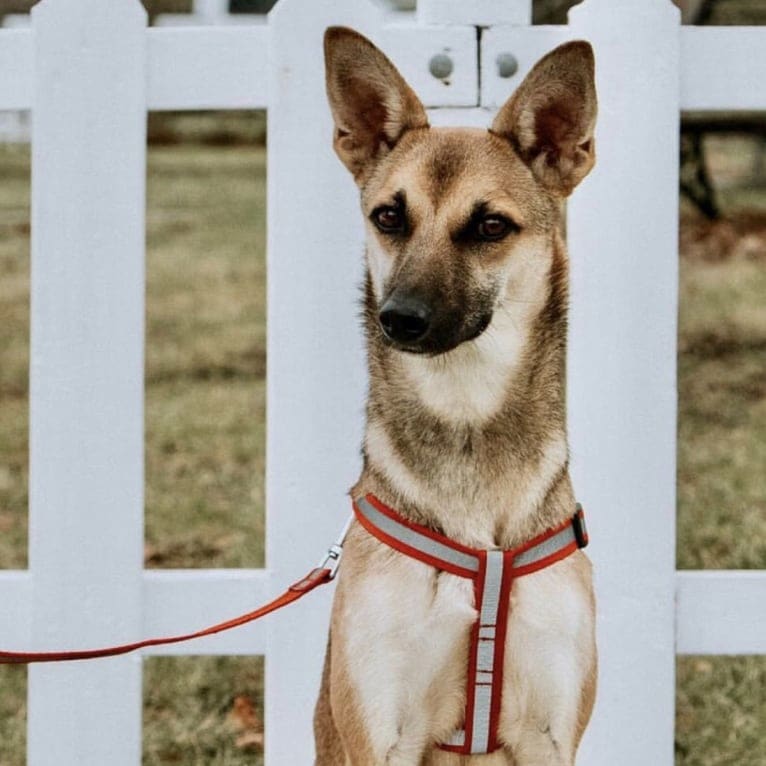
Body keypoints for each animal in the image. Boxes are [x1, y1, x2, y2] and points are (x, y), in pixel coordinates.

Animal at [316, 25, 600, 766]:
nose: (399, 318)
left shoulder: (550, 731)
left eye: (490, 226)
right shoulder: (381, 729)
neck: (467, 412)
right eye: (389, 216)